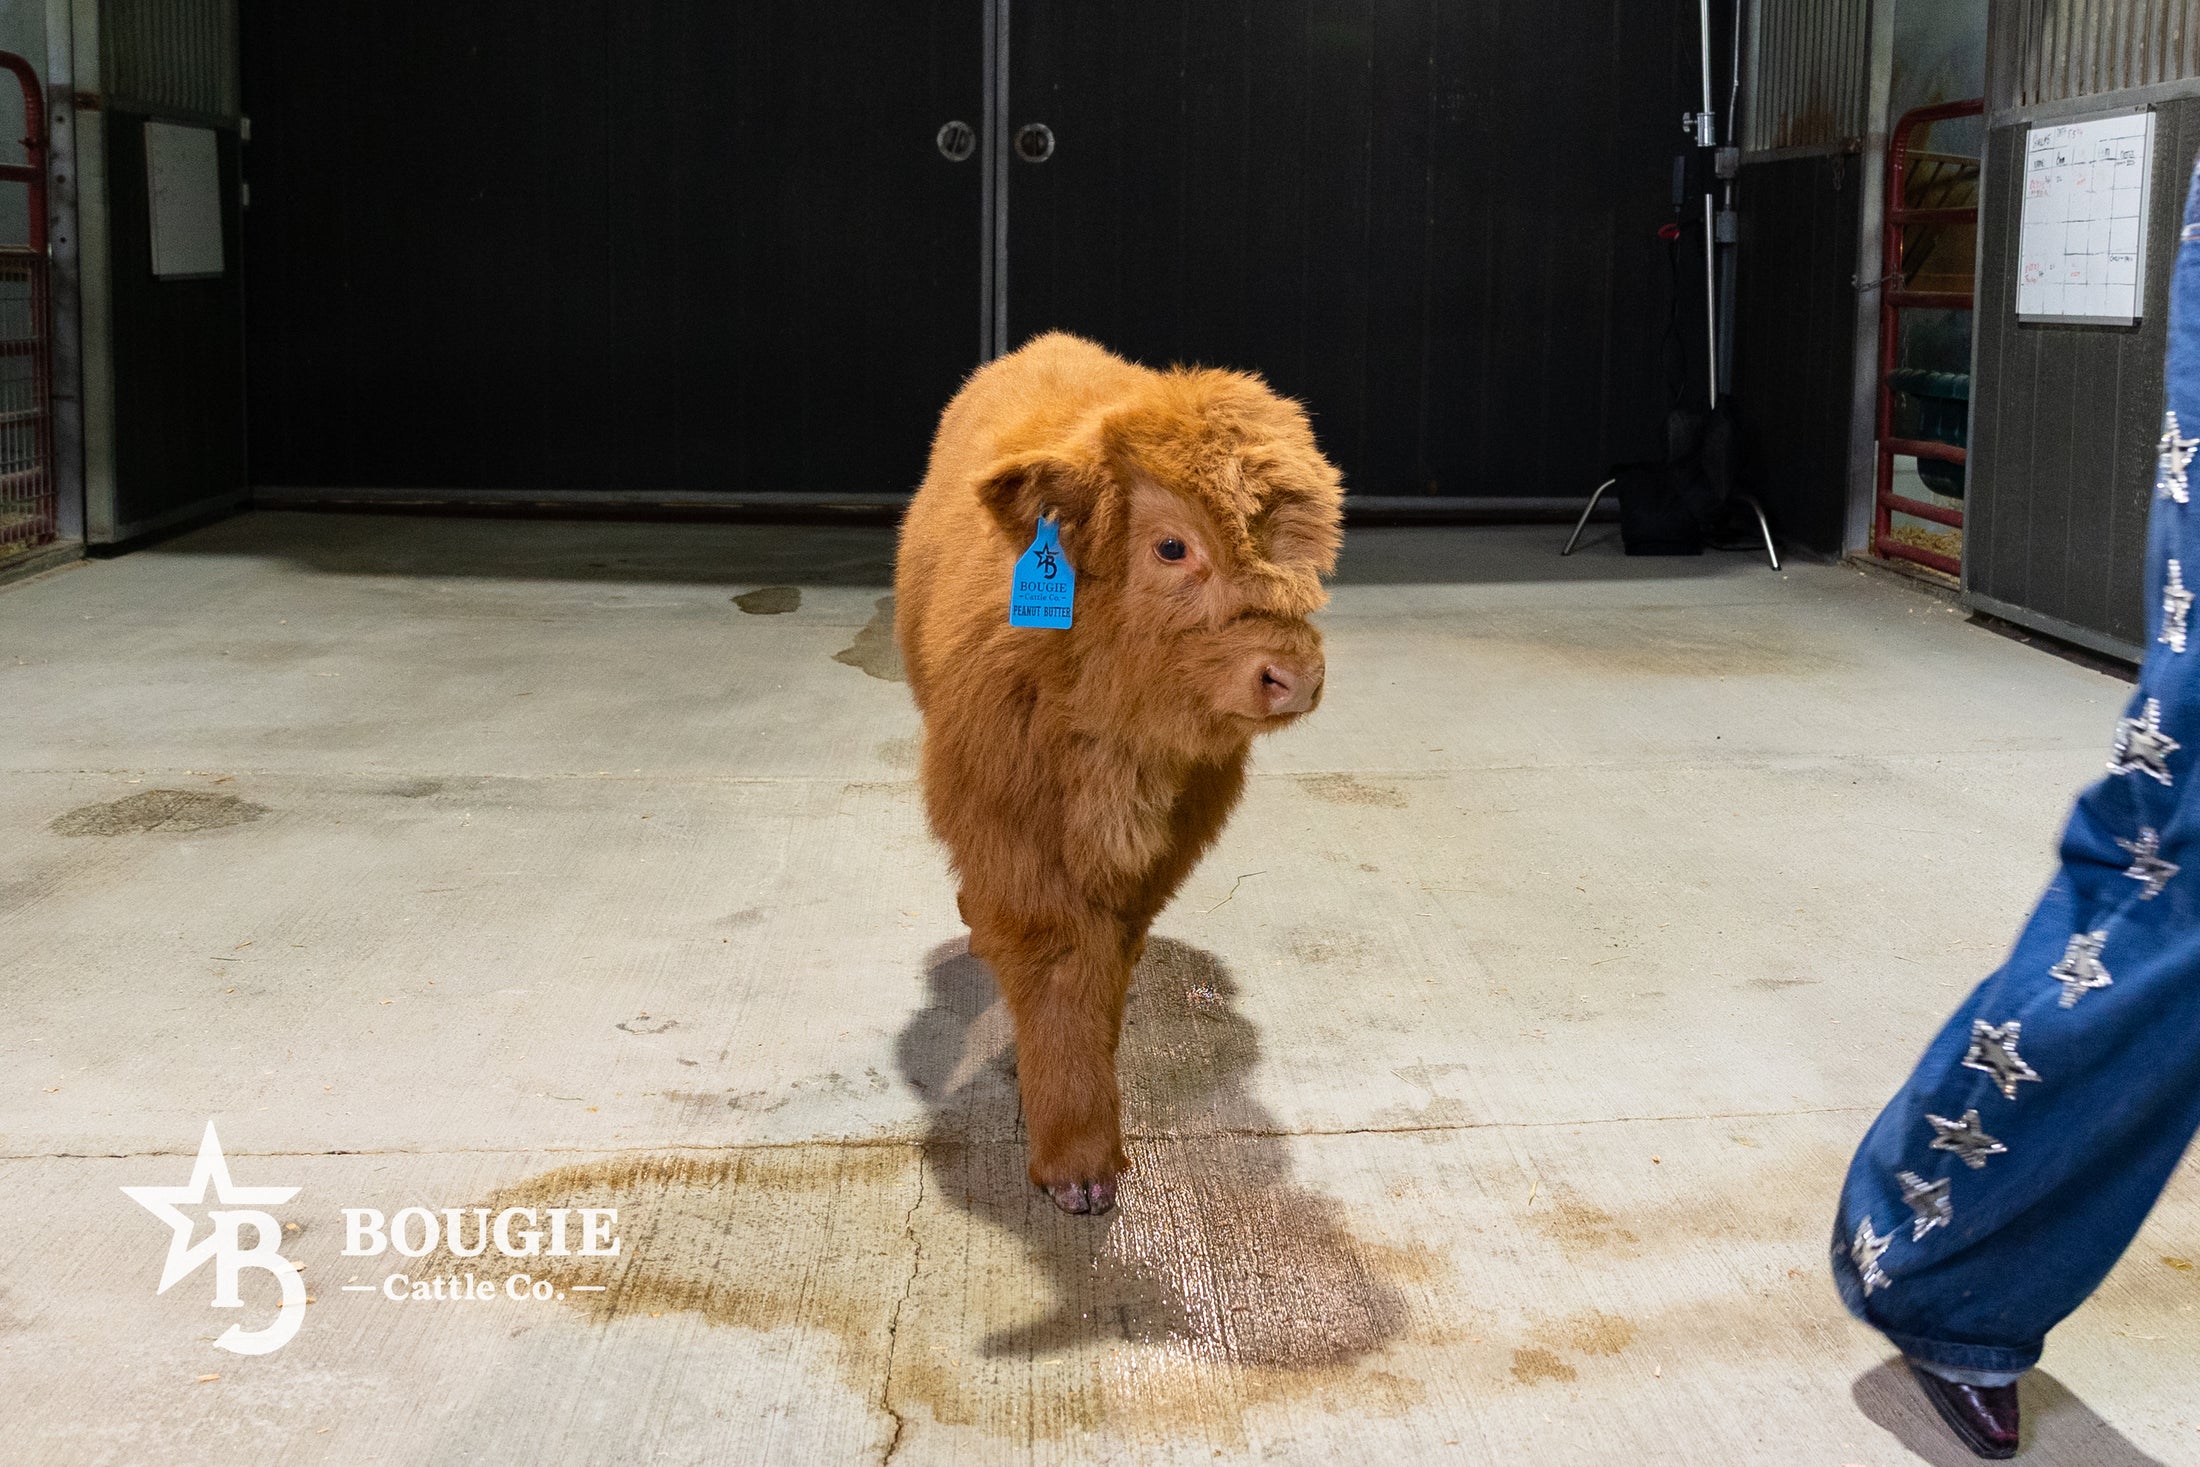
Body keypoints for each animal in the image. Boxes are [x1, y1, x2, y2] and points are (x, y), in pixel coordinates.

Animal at [895, 332, 1344, 1214]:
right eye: (1171, 545)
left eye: (1303, 548)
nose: (1296, 676)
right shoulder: (1010, 827)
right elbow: (1056, 963)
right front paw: (1076, 1158)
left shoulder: (1159, 850)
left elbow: (1109, 959)